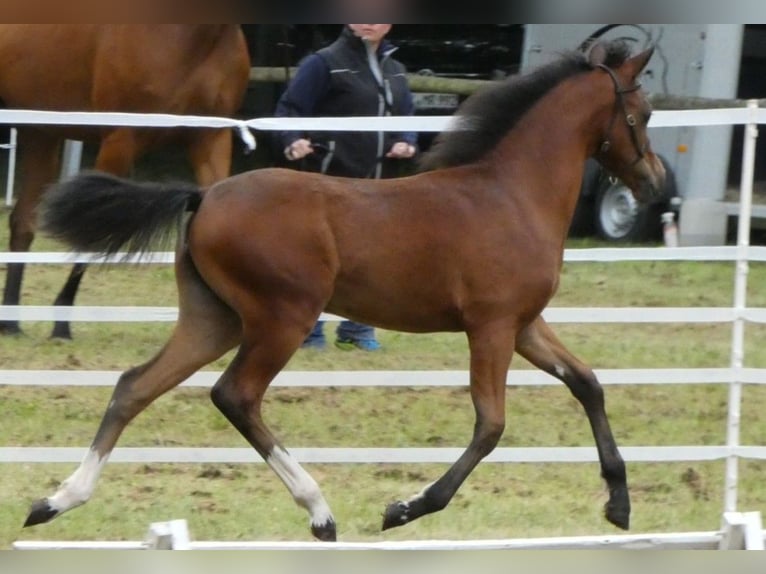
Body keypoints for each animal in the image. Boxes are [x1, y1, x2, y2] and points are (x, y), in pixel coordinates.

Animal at [0, 24, 249, 340]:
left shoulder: (211, 139)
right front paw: (61, 322)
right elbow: (90, 234)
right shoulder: (120, 140)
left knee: (22, 223)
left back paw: (10, 322)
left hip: (40, 134)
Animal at [27, 41, 664, 544]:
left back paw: (55, 502)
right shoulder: (492, 326)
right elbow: (491, 425)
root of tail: (203, 196)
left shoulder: (526, 325)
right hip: (281, 318)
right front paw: (405, 508)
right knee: (235, 396)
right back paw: (320, 512)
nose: (655, 182)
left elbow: (587, 383)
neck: (510, 193)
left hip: (214, 319)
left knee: (134, 386)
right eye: (642, 112)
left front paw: (620, 505)